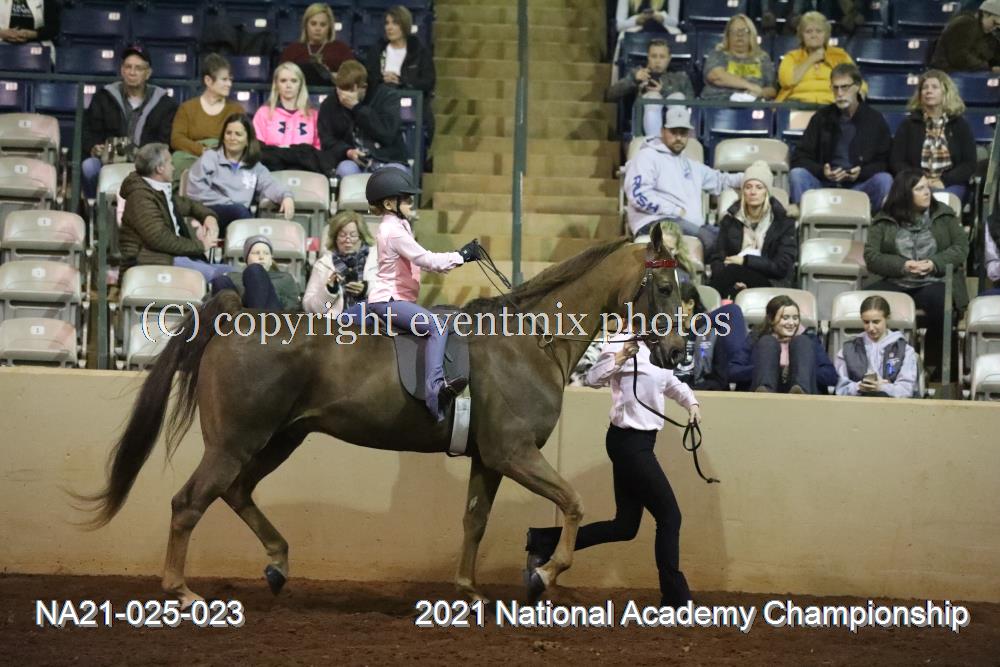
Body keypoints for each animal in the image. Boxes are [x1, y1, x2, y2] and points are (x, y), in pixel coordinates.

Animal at [80, 224, 687, 607]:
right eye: (663, 286)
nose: (679, 351)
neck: (529, 341)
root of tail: (233, 316)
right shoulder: (515, 453)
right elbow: (574, 503)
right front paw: (543, 573)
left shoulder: (490, 459)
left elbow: (474, 520)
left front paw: (469, 590)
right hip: (236, 442)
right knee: (189, 503)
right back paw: (180, 589)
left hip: (278, 440)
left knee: (236, 492)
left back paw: (277, 563)